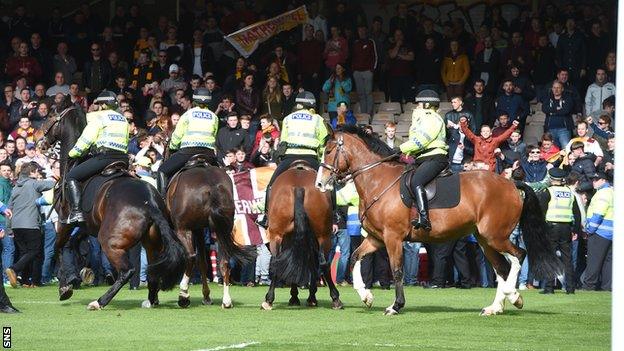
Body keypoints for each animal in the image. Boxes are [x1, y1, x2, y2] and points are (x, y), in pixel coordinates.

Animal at [35, 95, 186, 308]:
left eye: (50, 115)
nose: (40, 143)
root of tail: (149, 202)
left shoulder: (65, 222)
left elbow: (59, 249)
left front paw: (65, 287)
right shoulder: (87, 225)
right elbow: (74, 244)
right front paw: (81, 273)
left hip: (110, 241)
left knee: (127, 271)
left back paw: (100, 301)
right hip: (151, 242)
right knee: (153, 268)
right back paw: (151, 300)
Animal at [166, 161, 256, 310]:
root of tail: (211, 186)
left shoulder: (194, 229)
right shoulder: (201, 229)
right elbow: (203, 262)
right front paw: (206, 296)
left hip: (183, 230)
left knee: (190, 256)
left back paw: (183, 294)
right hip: (222, 230)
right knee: (224, 262)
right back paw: (226, 300)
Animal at [260, 162, 344, 310]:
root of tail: (298, 186)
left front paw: (298, 296)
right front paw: (309, 297)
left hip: (277, 235)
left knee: (276, 262)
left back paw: (268, 300)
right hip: (323, 236)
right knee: (322, 263)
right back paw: (335, 298)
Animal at [316, 126, 560, 316]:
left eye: (328, 151)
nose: (319, 184)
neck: (378, 180)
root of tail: (510, 183)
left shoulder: (393, 238)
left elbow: (397, 270)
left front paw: (396, 305)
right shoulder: (377, 238)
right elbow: (354, 259)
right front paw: (366, 296)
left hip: (496, 236)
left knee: (518, 256)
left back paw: (514, 295)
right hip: (485, 239)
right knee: (502, 267)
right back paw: (496, 306)